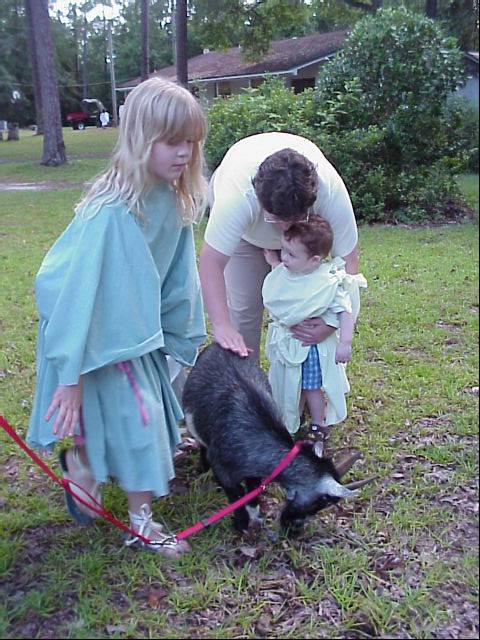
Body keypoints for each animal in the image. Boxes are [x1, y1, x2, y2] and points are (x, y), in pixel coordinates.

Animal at [182, 343, 372, 535]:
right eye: (320, 503)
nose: (294, 528)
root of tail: (216, 345)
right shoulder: (222, 470)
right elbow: (236, 496)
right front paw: (241, 525)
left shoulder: (253, 472)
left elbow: (252, 491)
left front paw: (255, 515)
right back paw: (203, 467)